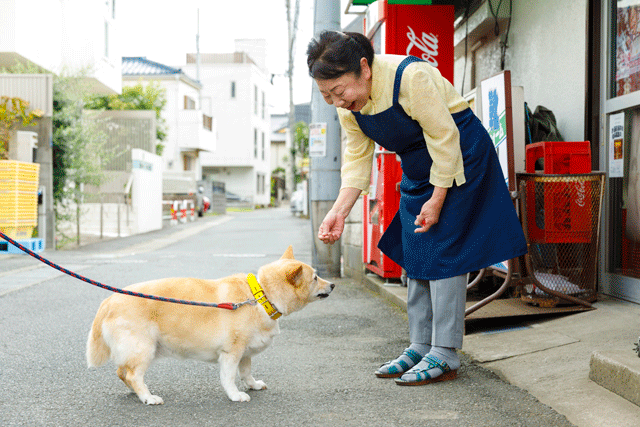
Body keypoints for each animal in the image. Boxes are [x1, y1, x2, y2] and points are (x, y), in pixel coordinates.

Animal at [86, 246, 336, 406]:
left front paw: (253, 385)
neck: (261, 296)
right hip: (143, 349)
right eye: (315, 278)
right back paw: (147, 397)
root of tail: (108, 300)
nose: (333, 285)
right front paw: (235, 395)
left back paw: (134, 392)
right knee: (133, 375)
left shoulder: (245, 354)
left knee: (123, 372)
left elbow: (246, 373)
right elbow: (229, 378)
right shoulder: (231, 353)